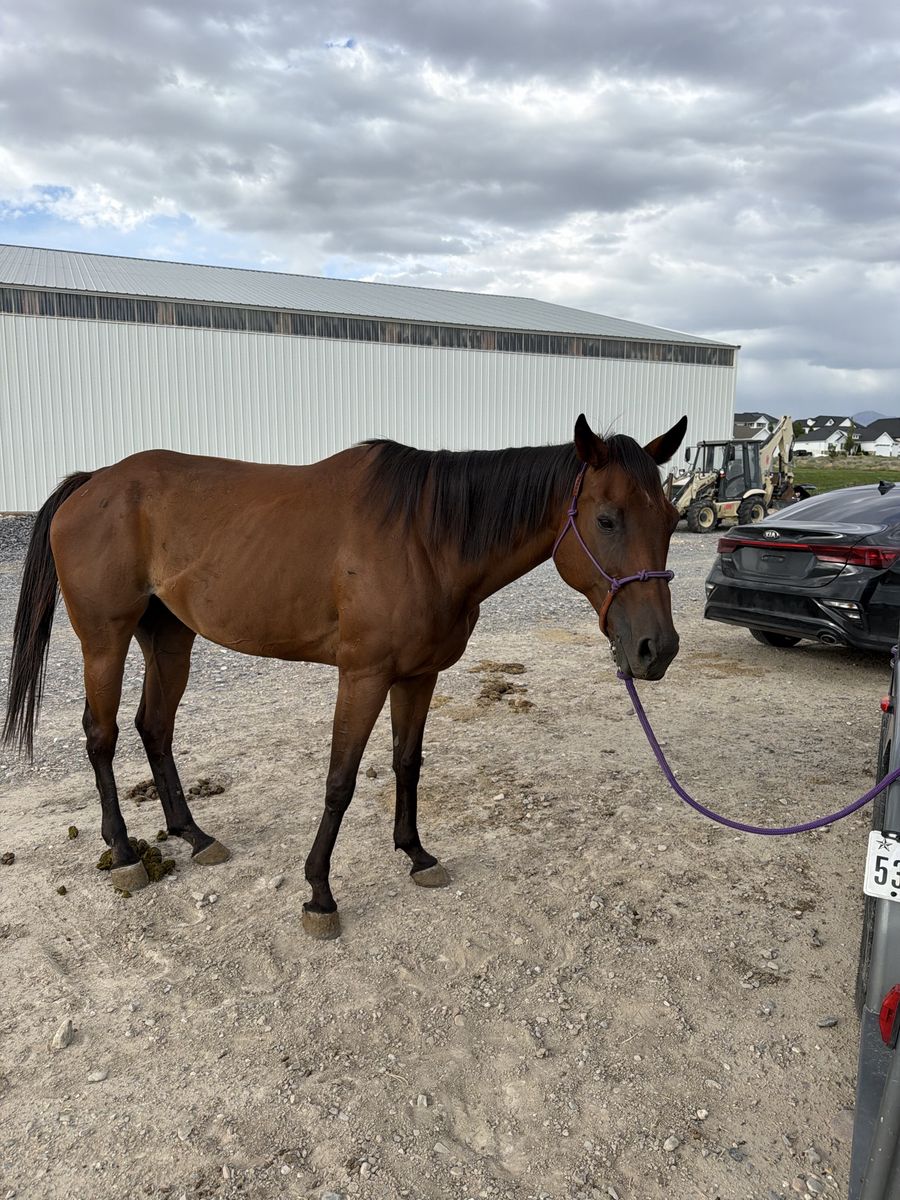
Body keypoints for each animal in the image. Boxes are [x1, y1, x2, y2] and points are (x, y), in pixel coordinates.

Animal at [3, 413, 687, 938]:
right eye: (606, 519)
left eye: (671, 520)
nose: (656, 649)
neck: (426, 536)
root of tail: (91, 483)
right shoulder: (363, 675)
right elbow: (340, 780)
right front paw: (319, 893)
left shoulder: (418, 675)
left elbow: (408, 763)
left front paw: (415, 854)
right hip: (105, 641)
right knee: (102, 736)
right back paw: (122, 852)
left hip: (170, 639)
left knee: (155, 728)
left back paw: (193, 835)